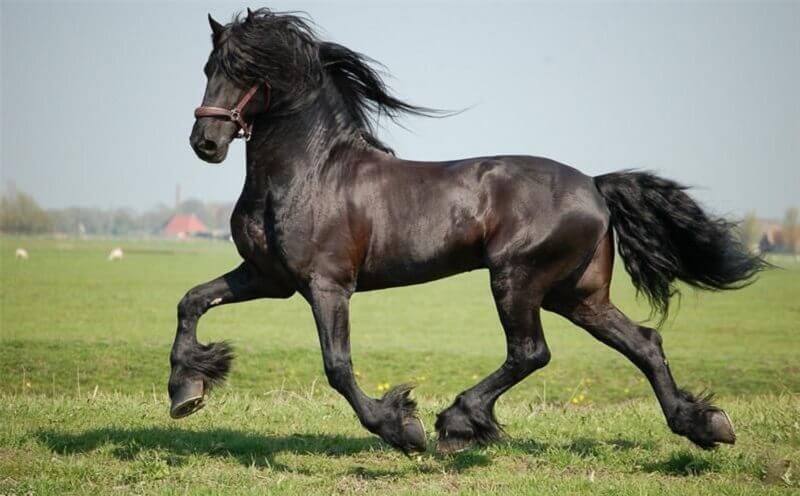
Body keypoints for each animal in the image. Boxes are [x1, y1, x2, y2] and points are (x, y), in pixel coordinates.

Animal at [170, 8, 766, 454]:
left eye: (251, 71)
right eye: (208, 66)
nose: (206, 143)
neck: (310, 172)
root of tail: (595, 186)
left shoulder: (327, 285)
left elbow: (337, 365)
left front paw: (401, 428)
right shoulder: (267, 277)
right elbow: (191, 301)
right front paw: (186, 389)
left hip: (518, 279)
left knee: (531, 352)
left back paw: (456, 422)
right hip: (577, 294)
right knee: (643, 343)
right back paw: (704, 425)